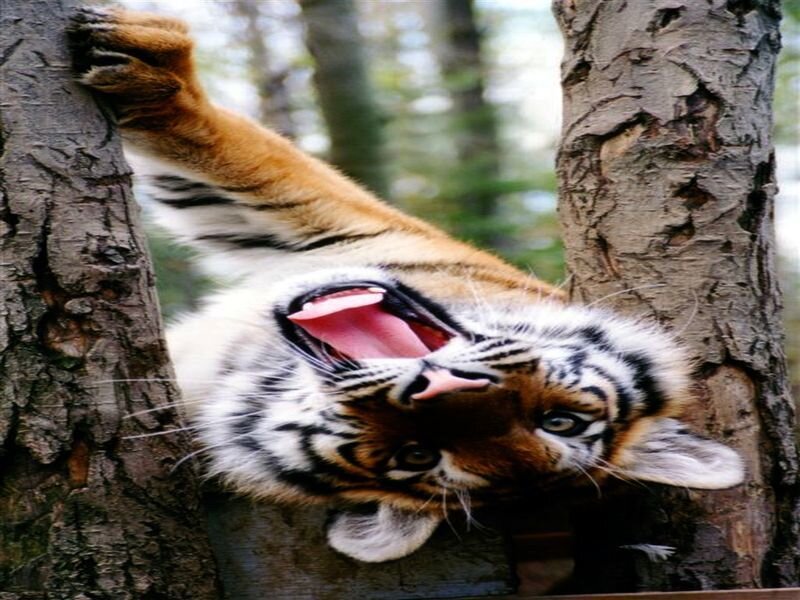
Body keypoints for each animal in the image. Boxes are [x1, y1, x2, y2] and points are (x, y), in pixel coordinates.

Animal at [68, 7, 744, 563]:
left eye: (414, 456)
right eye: (563, 421)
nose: (437, 384)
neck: (248, 360)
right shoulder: (342, 224)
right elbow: (245, 154)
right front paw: (151, 63)